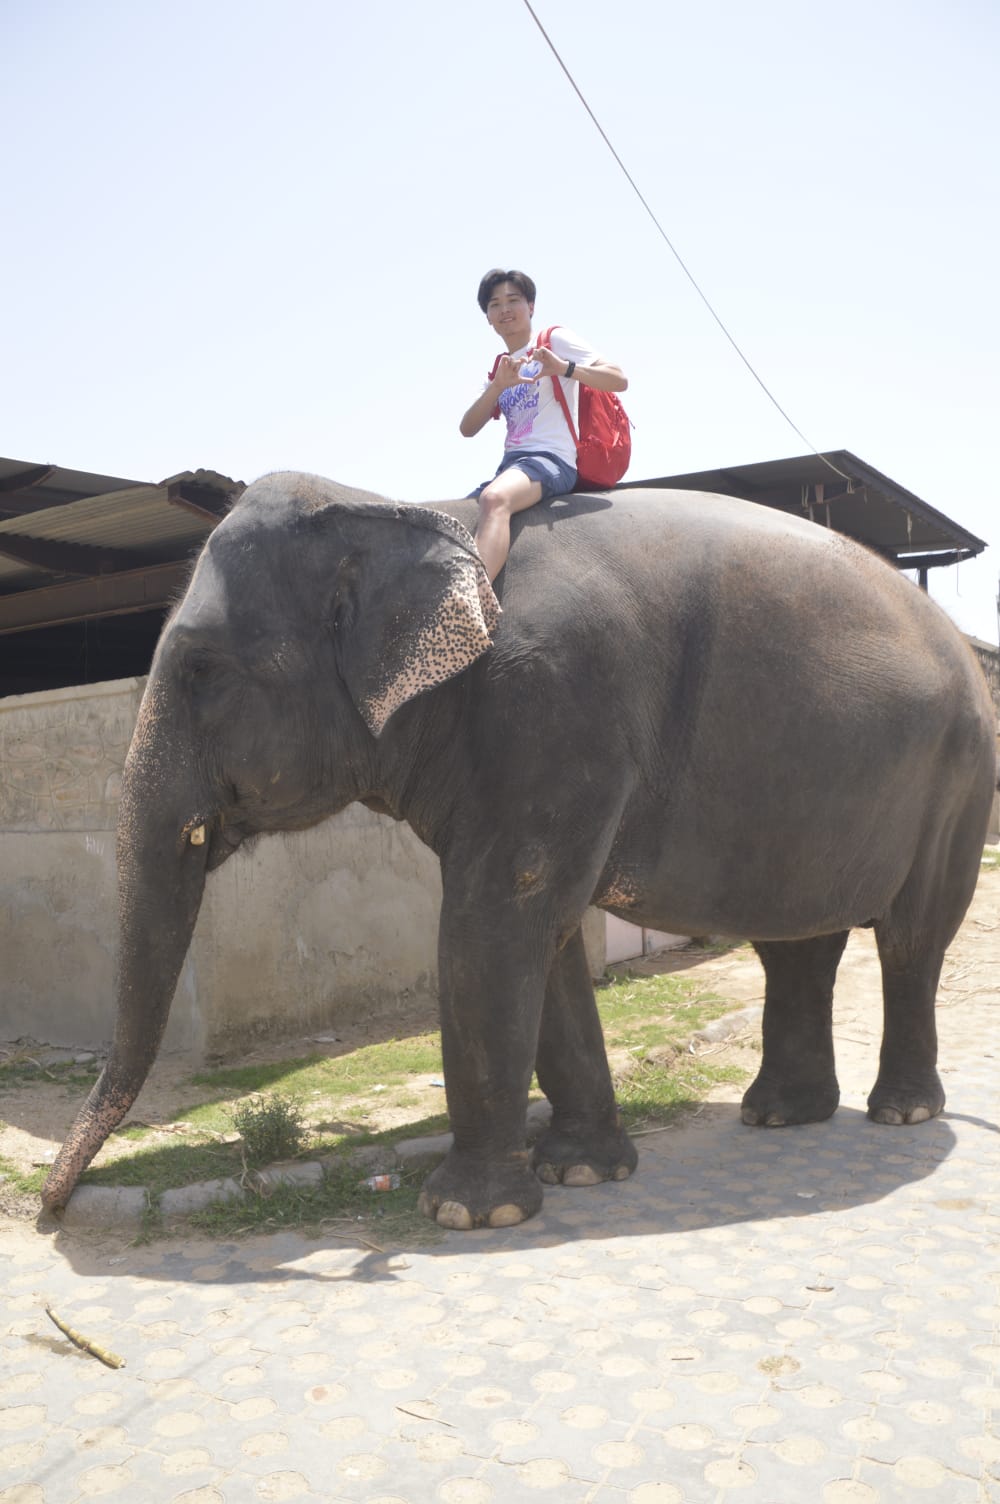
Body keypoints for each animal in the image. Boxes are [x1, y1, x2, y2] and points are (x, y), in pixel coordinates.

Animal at [42, 472, 997, 1228]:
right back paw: (779, 1117)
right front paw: (582, 1171)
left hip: (959, 782)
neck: (411, 508)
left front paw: (469, 1213)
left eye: (201, 670)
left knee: (910, 940)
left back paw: (900, 1114)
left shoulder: (554, 705)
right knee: (795, 944)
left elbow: (493, 924)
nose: (51, 1209)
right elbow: (547, 937)